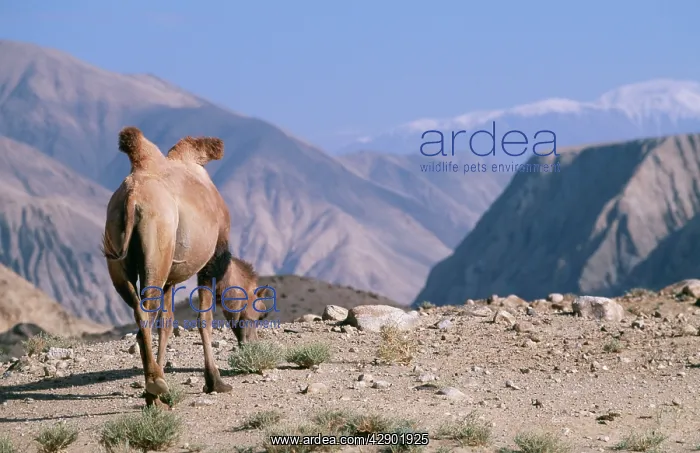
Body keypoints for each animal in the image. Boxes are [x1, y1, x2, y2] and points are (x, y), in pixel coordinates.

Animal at [102, 126, 249, 406]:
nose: (251, 341)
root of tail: (132, 197)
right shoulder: (212, 259)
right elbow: (205, 318)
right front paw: (215, 382)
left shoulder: (171, 278)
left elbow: (167, 324)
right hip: (156, 247)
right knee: (145, 314)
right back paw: (155, 386)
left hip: (116, 250)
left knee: (140, 311)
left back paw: (155, 389)